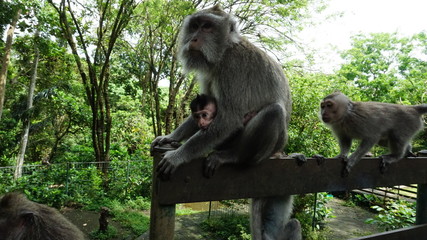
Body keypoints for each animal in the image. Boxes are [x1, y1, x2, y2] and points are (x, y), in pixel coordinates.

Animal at [150, 4, 300, 240]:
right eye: (195, 26)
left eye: (207, 27)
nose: (193, 38)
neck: (223, 51)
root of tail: (278, 151)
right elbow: (206, 105)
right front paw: (170, 137)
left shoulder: (232, 68)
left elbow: (229, 117)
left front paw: (178, 155)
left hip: (263, 149)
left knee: (273, 112)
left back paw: (232, 157)